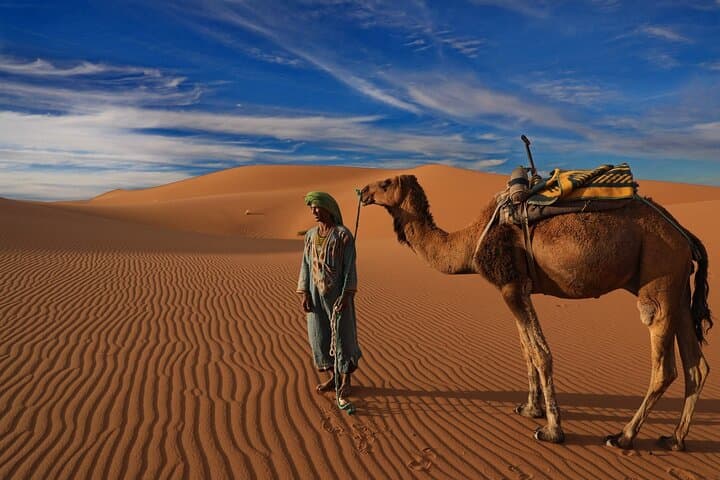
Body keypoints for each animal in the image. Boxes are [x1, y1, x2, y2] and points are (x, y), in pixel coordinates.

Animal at [359, 174, 712, 451]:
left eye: (386, 182)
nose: (362, 192)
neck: (470, 243)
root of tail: (685, 235)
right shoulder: (518, 289)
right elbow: (526, 350)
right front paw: (530, 409)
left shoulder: (511, 286)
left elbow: (541, 353)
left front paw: (552, 430)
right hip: (678, 288)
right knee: (697, 366)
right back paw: (674, 439)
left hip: (659, 277)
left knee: (664, 366)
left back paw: (623, 436)